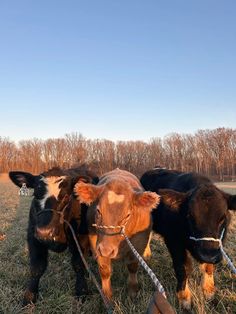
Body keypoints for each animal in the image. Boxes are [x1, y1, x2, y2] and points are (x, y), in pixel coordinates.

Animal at [8, 168, 98, 306]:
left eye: (66, 196)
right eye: (35, 195)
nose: (45, 232)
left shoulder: (80, 237)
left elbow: (78, 264)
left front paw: (81, 291)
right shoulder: (34, 238)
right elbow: (37, 267)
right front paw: (30, 297)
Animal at [74, 169, 159, 302]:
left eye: (128, 215)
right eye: (98, 211)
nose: (107, 250)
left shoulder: (139, 241)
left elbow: (132, 266)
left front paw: (132, 292)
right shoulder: (96, 242)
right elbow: (104, 269)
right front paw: (107, 296)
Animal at [141, 169, 235, 310]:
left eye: (222, 217)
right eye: (189, 216)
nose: (207, 255)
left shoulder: (215, 246)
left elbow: (208, 267)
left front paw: (208, 290)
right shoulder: (173, 241)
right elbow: (182, 267)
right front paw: (184, 298)